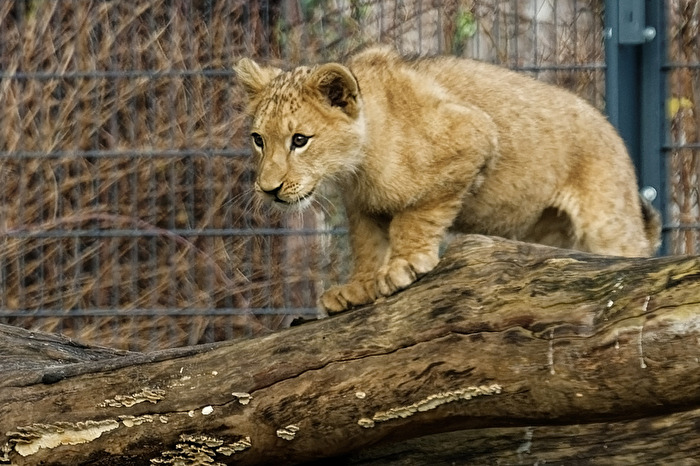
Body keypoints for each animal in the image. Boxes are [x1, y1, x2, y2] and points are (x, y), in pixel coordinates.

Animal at [234, 46, 661, 314]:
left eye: (300, 140)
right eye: (258, 140)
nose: (268, 189)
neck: (358, 165)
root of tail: (611, 129)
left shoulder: (475, 137)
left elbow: (416, 215)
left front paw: (404, 265)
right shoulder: (362, 207)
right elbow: (367, 245)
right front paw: (359, 287)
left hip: (608, 221)